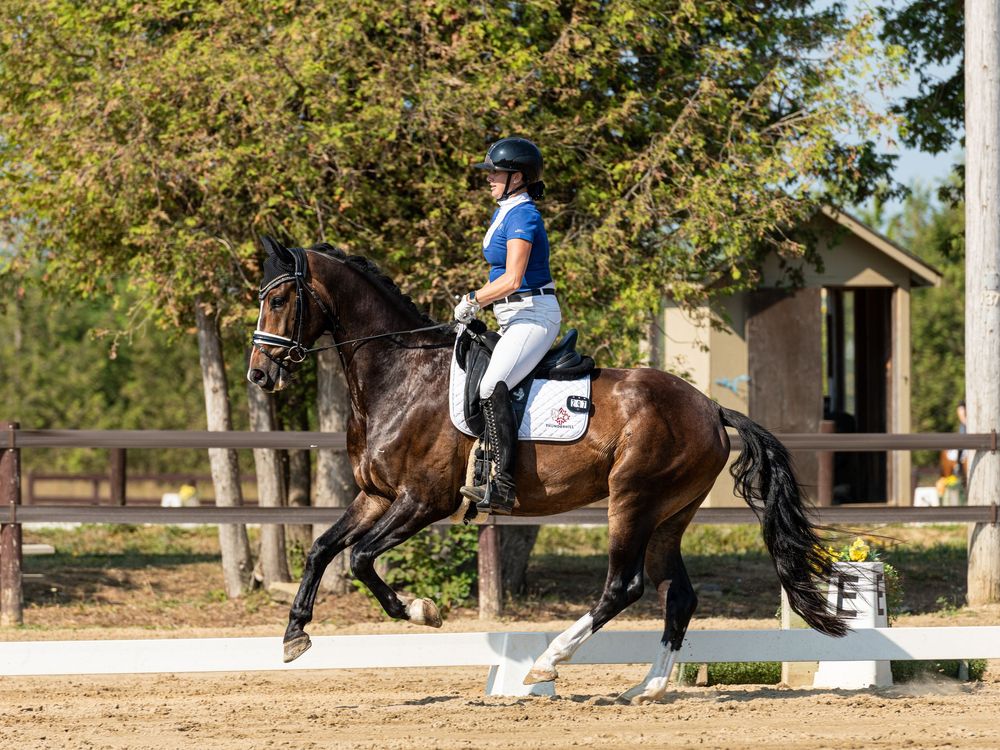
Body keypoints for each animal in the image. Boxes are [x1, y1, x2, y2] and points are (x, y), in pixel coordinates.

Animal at [247, 236, 848, 703]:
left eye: (279, 299)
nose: (259, 375)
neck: (401, 375)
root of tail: (710, 406)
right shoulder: (375, 495)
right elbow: (324, 548)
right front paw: (294, 636)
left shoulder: (423, 501)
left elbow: (361, 558)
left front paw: (421, 610)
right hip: (669, 514)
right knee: (676, 593)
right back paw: (646, 688)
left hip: (633, 500)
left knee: (623, 586)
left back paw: (548, 663)